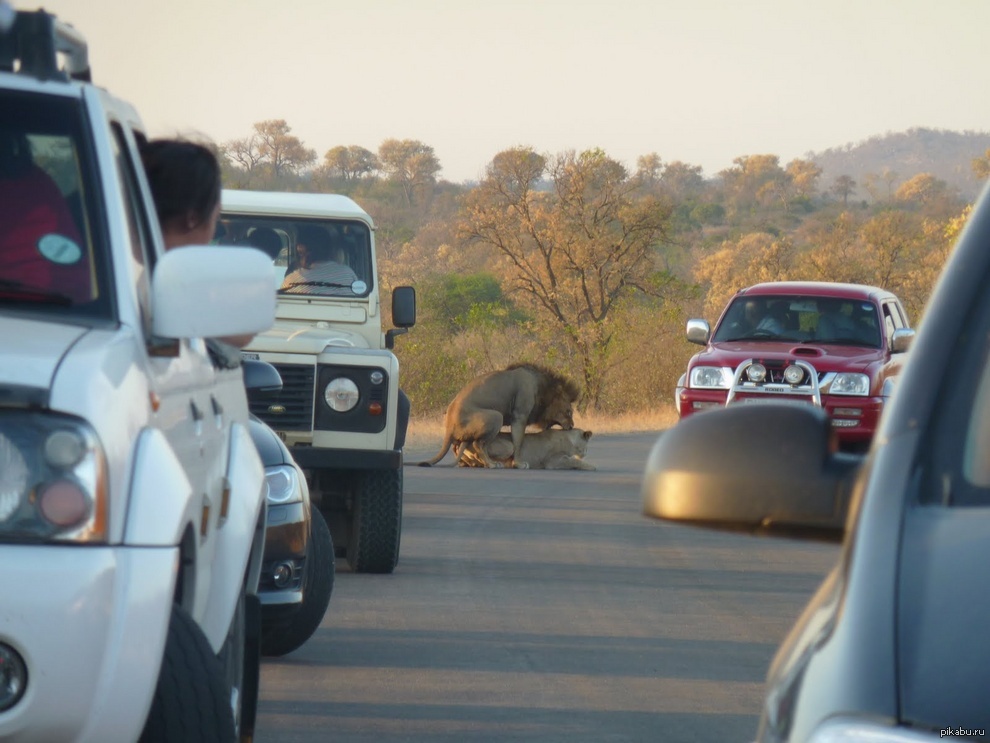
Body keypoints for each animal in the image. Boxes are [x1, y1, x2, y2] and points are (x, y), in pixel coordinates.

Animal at [418, 364, 580, 468]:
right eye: (568, 411)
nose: (572, 425)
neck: (541, 389)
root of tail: (449, 424)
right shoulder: (519, 416)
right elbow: (518, 442)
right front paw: (519, 464)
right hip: (496, 416)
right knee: (478, 444)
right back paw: (491, 464)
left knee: (458, 447)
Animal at [458, 428, 596, 468]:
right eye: (587, 445)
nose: (586, 452)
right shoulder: (553, 461)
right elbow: (574, 461)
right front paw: (592, 467)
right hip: (510, 446)